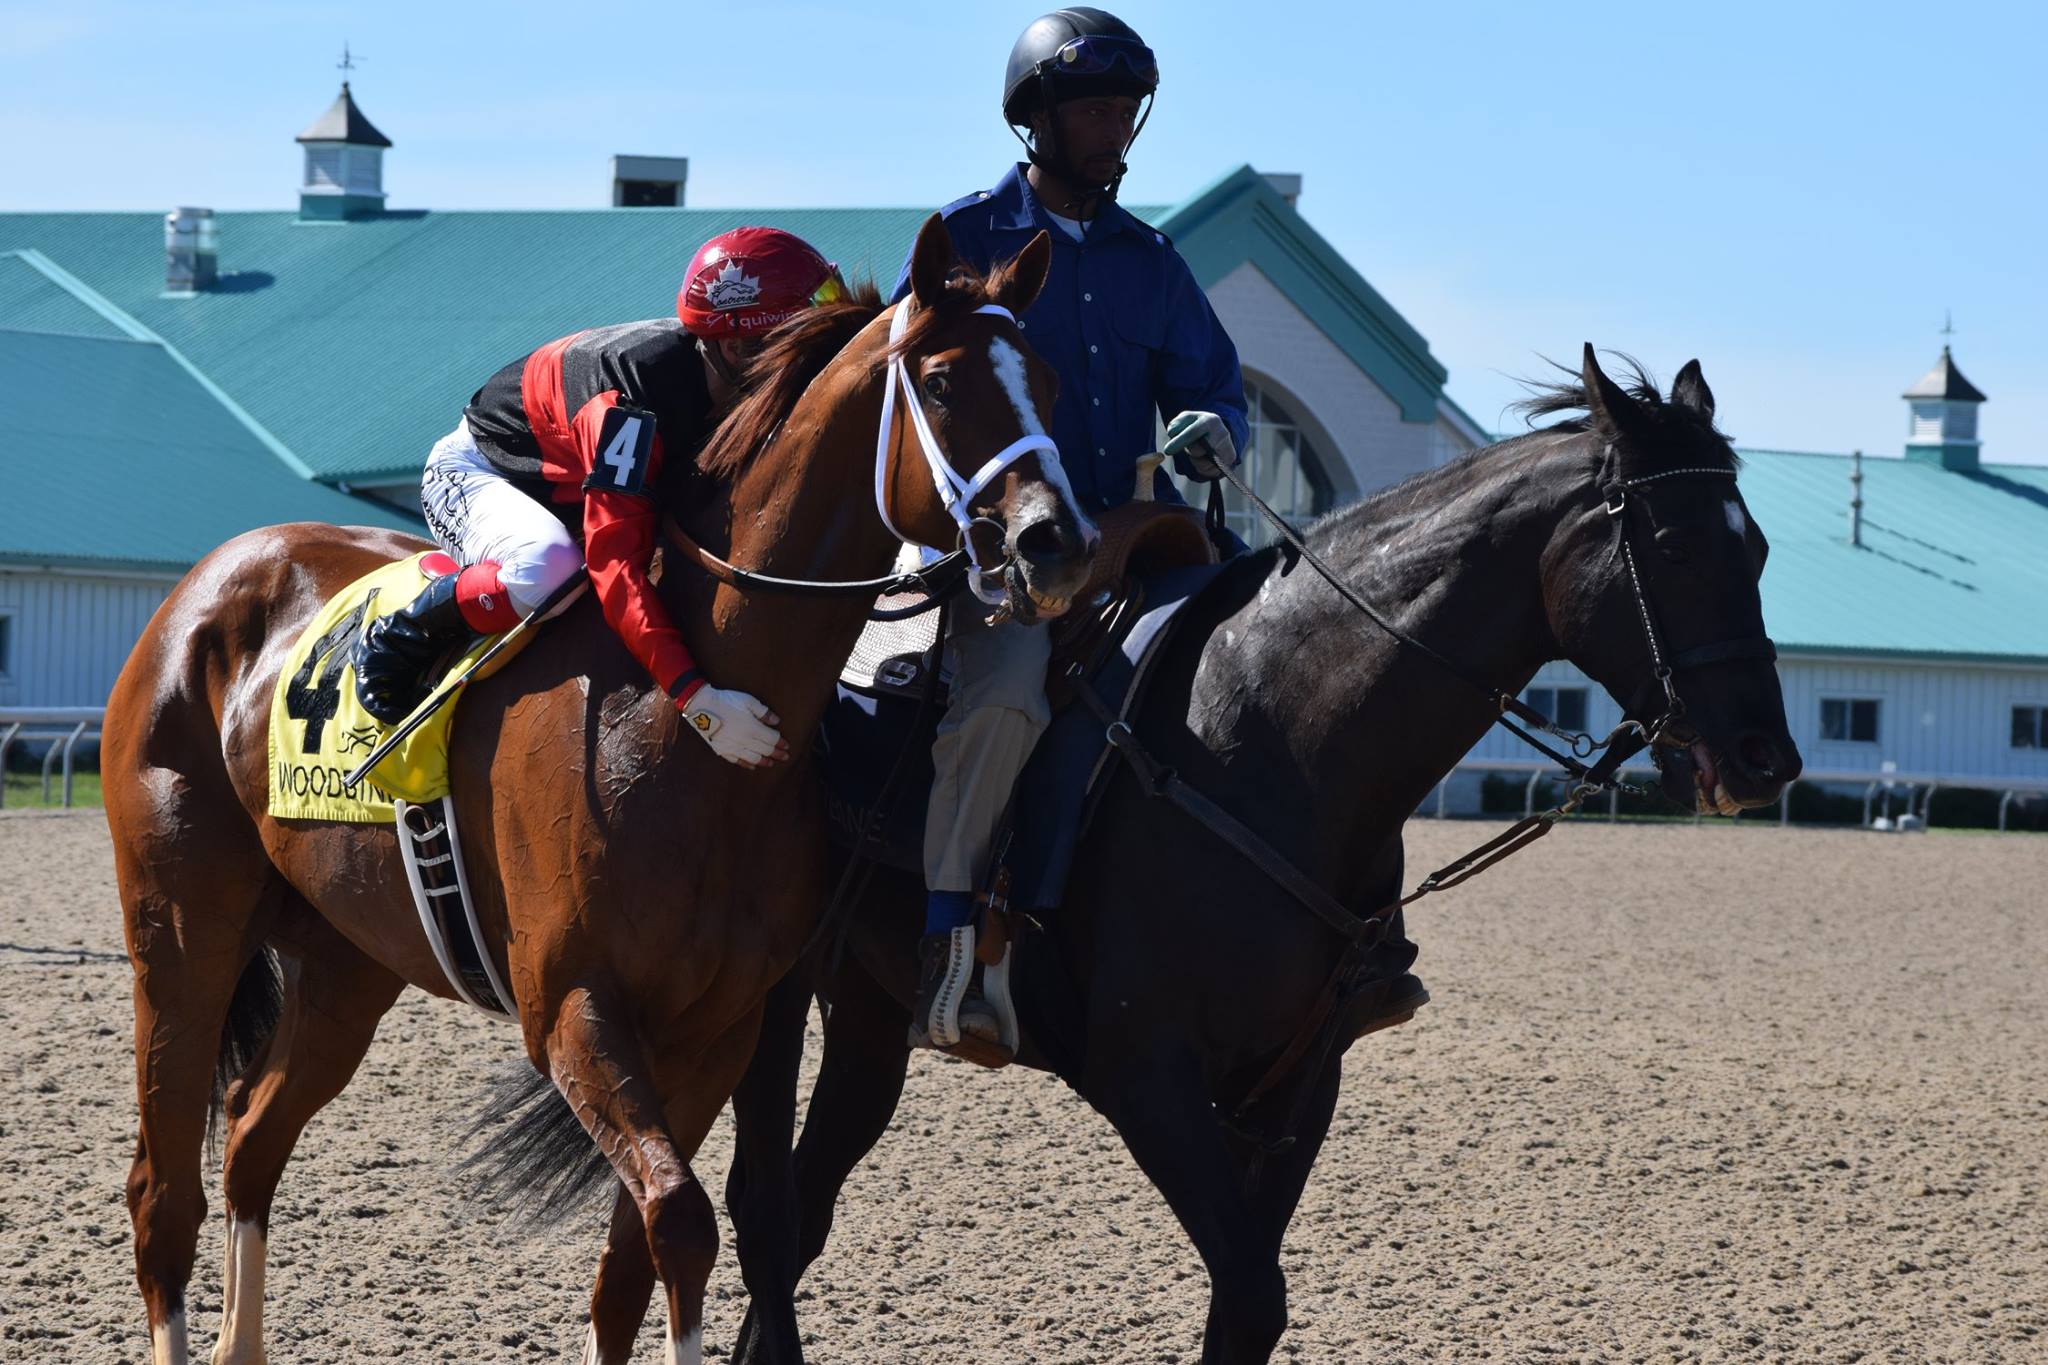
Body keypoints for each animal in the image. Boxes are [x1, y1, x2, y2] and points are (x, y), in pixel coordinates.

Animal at [101, 213, 1096, 1365]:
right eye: (939, 382)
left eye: (1051, 382)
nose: (1058, 542)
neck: (685, 739)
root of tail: (205, 585)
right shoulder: (575, 1007)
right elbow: (680, 1220)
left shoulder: (717, 1028)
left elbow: (635, 1263)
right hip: (182, 933)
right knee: (162, 1191)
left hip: (347, 956)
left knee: (252, 1142)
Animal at [640, 346, 1794, 1363]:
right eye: (1674, 546)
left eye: (1759, 551)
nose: (1764, 759)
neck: (1269, 732)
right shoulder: (1149, 1079)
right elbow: (1250, 1293)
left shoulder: (1292, 1091)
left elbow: (1238, 1311)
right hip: (773, 1001)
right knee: (765, 1211)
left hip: (874, 1017)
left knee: (807, 1203)